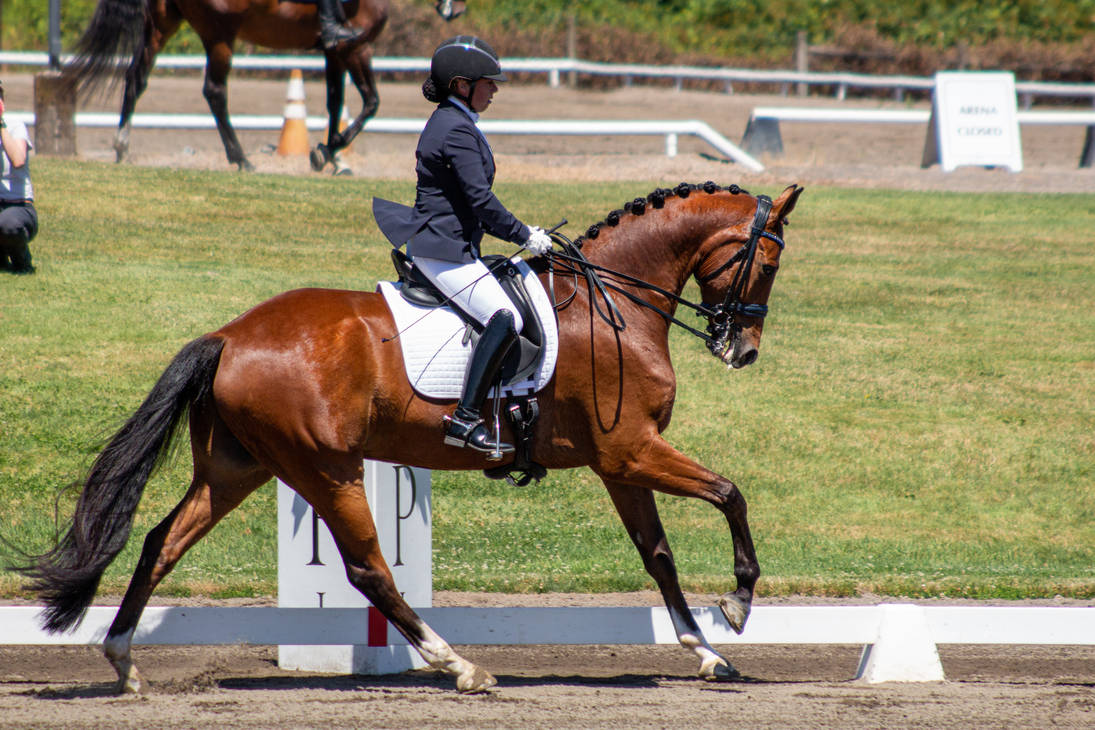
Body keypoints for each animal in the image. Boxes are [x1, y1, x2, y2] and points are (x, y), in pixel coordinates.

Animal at [15, 182, 803, 694]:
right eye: (766, 262)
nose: (743, 350)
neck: (614, 305)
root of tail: (229, 336)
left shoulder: (619, 464)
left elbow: (658, 555)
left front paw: (706, 652)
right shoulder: (631, 451)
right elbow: (730, 493)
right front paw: (737, 602)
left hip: (236, 469)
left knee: (162, 542)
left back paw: (123, 659)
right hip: (325, 469)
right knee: (369, 570)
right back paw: (458, 666)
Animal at [61, 0, 462, 172]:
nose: (454, 11)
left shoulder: (334, 52)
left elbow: (335, 101)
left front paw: (327, 154)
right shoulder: (354, 47)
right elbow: (371, 103)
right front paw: (329, 151)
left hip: (163, 23)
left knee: (136, 77)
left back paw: (122, 146)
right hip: (220, 33)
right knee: (215, 92)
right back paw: (240, 158)